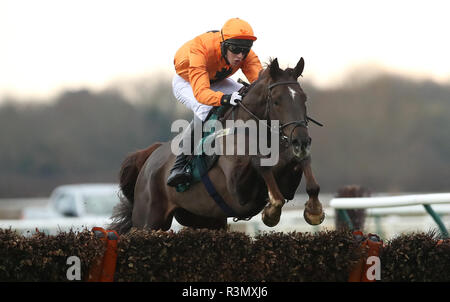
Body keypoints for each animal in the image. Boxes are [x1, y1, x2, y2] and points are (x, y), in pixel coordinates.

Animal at [110, 57, 326, 235]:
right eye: (276, 101)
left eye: (304, 98)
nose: (301, 141)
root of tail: (150, 156)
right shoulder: (239, 193)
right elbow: (260, 164)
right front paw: (272, 212)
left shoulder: (287, 183)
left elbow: (304, 167)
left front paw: (314, 210)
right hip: (148, 221)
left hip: (206, 220)